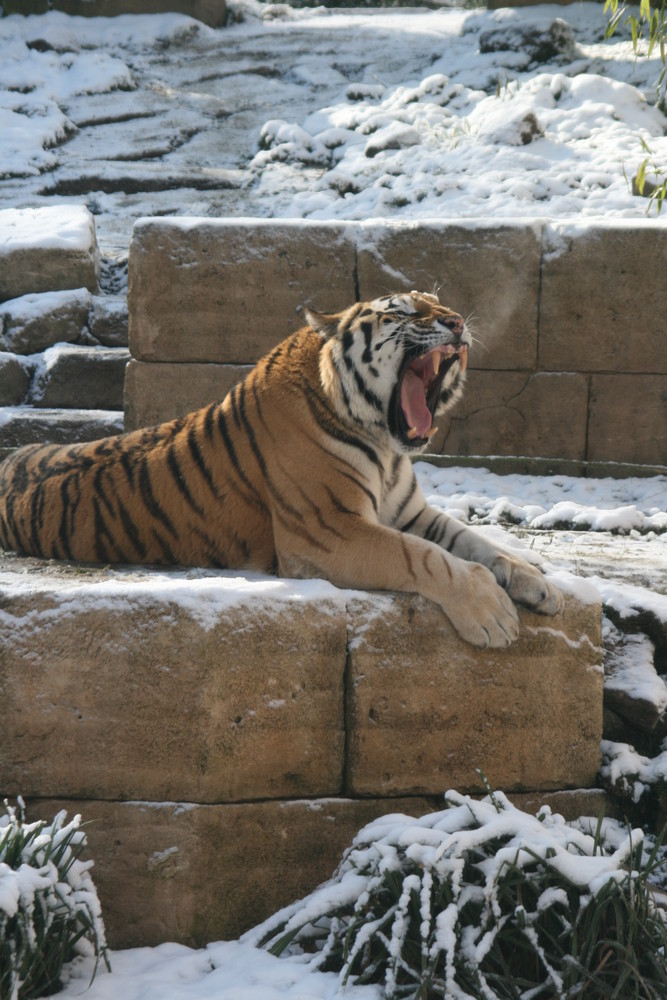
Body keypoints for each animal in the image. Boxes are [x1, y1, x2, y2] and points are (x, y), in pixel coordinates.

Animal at [0, 290, 564, 648]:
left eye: (440, 305)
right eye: (404, 311)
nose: (457, 322)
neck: (385, 444)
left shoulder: (408, 513)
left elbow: (476, 542)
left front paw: (536, 582)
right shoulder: (327, 528)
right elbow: (425, 558)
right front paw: (491, 612)